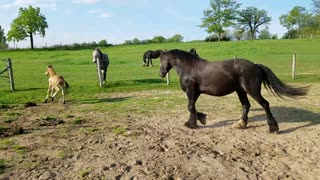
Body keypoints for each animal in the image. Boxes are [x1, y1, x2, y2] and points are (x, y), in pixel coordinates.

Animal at [159, 48, 308, 132]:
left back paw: (273, 127)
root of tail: (256, 66)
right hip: (240, 91)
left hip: (252, 91)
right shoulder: (195, 93)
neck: (189, 68)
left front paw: (192, 124)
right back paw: (240, 124)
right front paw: (201, 119)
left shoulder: (191, 91)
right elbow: (193, 107)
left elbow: (190, 107)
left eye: (162, 60)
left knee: (265, 104)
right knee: (246, 105)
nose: (161, 73)